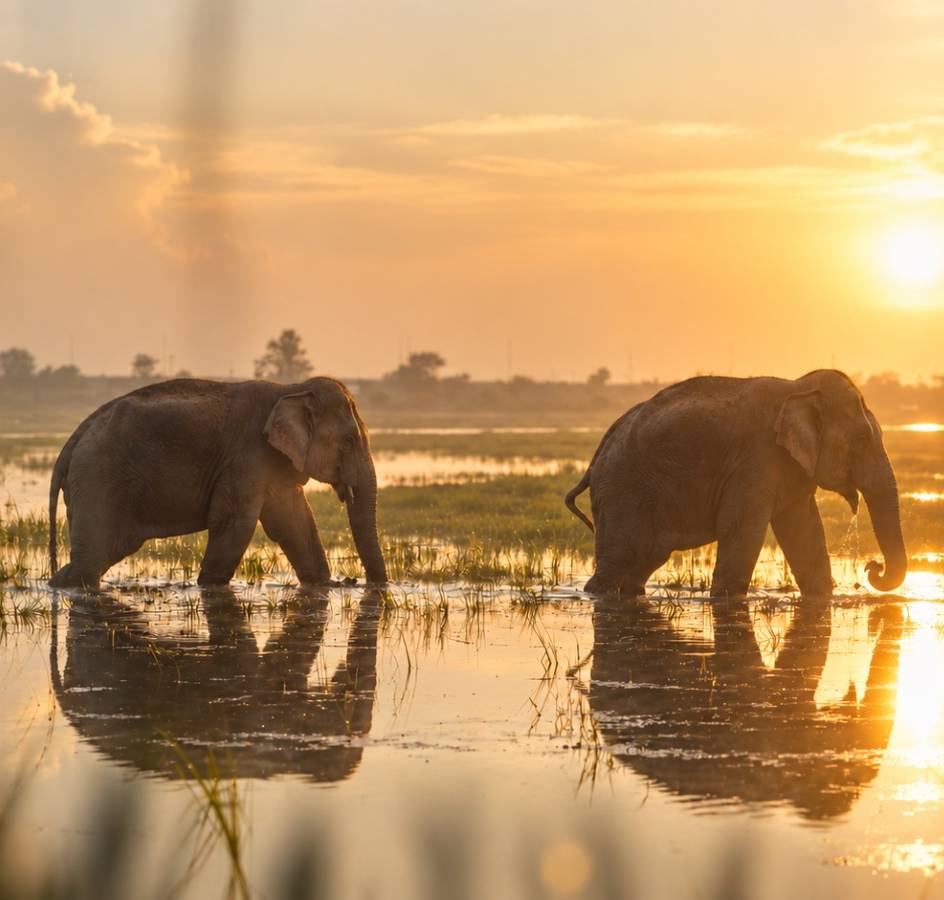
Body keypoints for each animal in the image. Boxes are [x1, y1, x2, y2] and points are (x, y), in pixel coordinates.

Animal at [48, 376, 387, 589]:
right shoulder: (247, 455)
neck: (292, 388)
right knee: (91, 561)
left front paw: (323, 584)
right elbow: (234, 522)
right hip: (99, 479)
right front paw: (208, 586)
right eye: (349, 440)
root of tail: (77, 435)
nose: (361, 583)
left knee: (99, 556)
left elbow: (295, 521)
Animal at [566, 370, 906, 597]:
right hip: (623, 490)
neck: (798, 388)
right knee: (620, 558)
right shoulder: (755, 458)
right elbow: (743, 529)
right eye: (861, 440)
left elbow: (804, 531)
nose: (871, 567)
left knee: (644, 559)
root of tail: (597, 457)